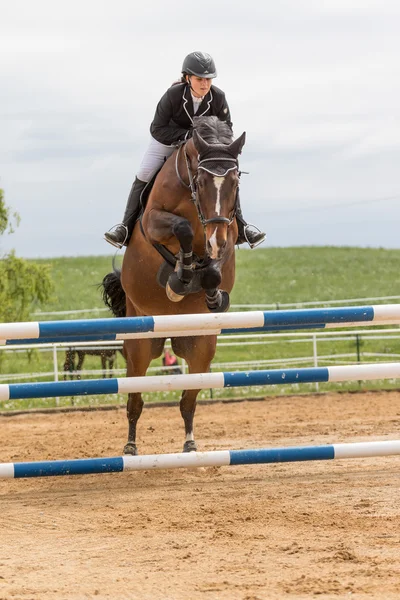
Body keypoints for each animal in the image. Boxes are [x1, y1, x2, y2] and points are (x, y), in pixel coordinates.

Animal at [101, 116, 245, 454]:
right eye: (202, 182)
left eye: (235, 182)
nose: (215, 241)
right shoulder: (154, 221)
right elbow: (181, 228)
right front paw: (179, 280)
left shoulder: (228, 230)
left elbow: (214, 267)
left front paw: (212, 294)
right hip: (139, 346)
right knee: (135, 400)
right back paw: (130, 446)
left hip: (200, 348)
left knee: (187, 400)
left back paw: (190, 443)